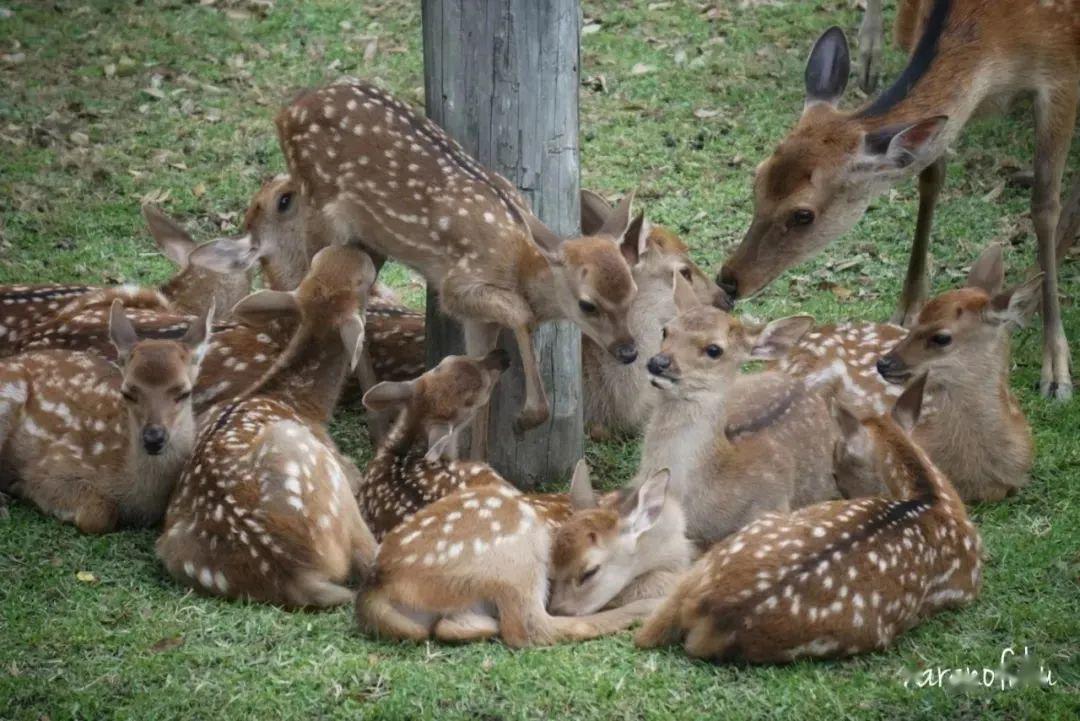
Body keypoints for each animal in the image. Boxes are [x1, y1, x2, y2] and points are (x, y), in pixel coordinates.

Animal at [717, 0, 1080, 399]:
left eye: (803, 215)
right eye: (757, 179)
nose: (728, 280)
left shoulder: (1062, 74)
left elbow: (1045, 205)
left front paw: (1056, 368)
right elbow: (930, 176)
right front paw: (907, 309)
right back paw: (868, 55)